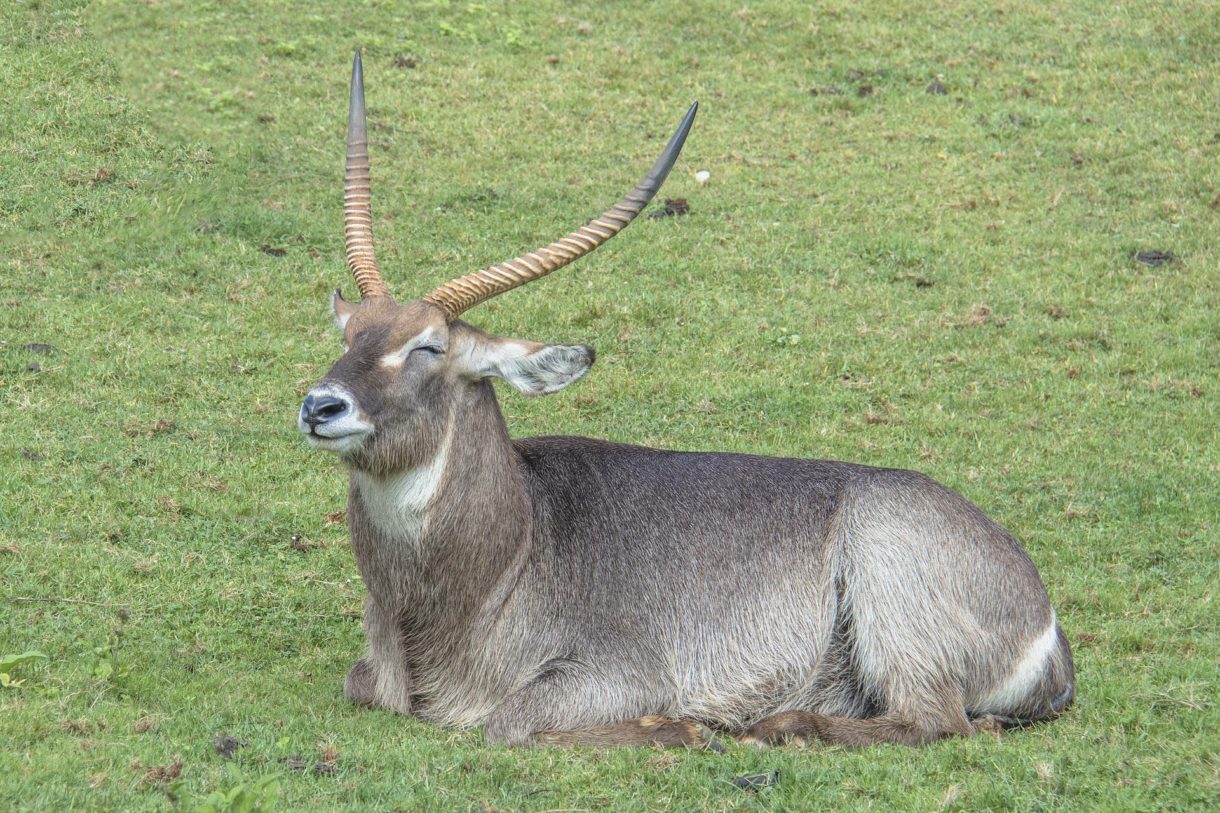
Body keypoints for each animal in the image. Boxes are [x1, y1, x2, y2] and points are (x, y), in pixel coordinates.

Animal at [297, 52, 1078, 747]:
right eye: (351, 331)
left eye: (428, 346)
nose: (320, 406)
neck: (513, 542)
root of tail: (1045, 620)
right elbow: (360, 683)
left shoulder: (620, 670)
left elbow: (506, 723)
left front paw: (682, 728)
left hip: (891, 580)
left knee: (933, 721)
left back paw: (777, 727)